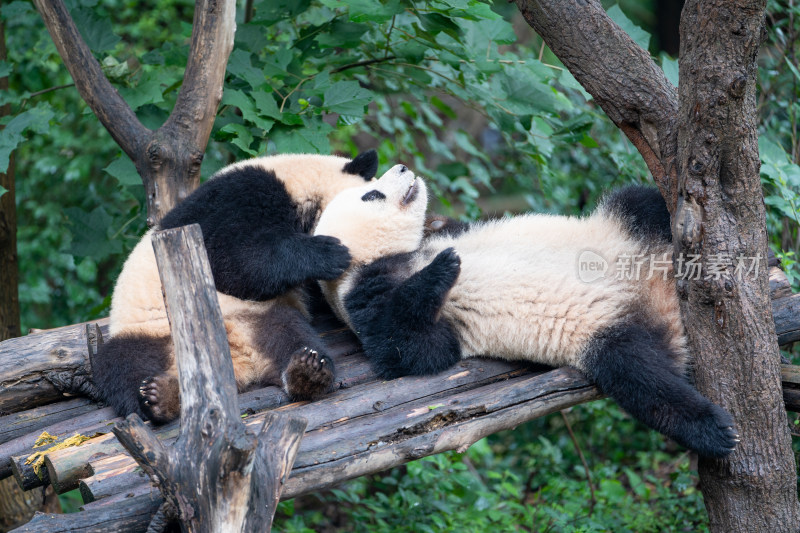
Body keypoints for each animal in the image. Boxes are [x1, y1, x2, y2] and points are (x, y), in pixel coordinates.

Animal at [92, 151, 380, 424]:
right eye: (374, 197)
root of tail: (237, 360)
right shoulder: (234, 197)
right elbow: (232, 258)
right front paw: (330, 253)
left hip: (263, 316)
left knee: (290, 335)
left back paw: (307, 371)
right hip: (150, 331)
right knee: (123, 365)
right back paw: (159, 398)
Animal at [316, 163, 740, 458]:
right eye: (371, 195)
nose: (404, 167)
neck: (395, 255)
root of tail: (660, 300)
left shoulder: (449, 230)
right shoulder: (365, 295)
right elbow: (412, 348)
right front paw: (443, 269)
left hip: (622, 231)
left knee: (641, 203)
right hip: (605, 333)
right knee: (639, 375)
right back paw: (715, 431)